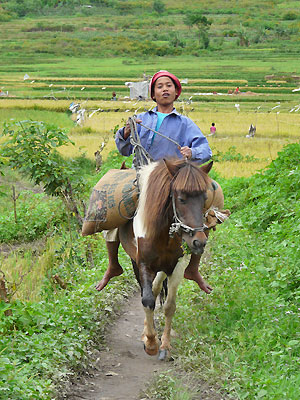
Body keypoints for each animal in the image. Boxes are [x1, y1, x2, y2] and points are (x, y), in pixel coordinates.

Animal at [118, 158, 212, 360]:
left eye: (204, 199)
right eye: (181, 199)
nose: (198, 242)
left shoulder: (177, 266)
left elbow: (169, 305)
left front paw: (165, 345)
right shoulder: (143, 263)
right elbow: (147, 300)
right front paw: (151, 342)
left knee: (156, 288)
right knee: (149, 292)